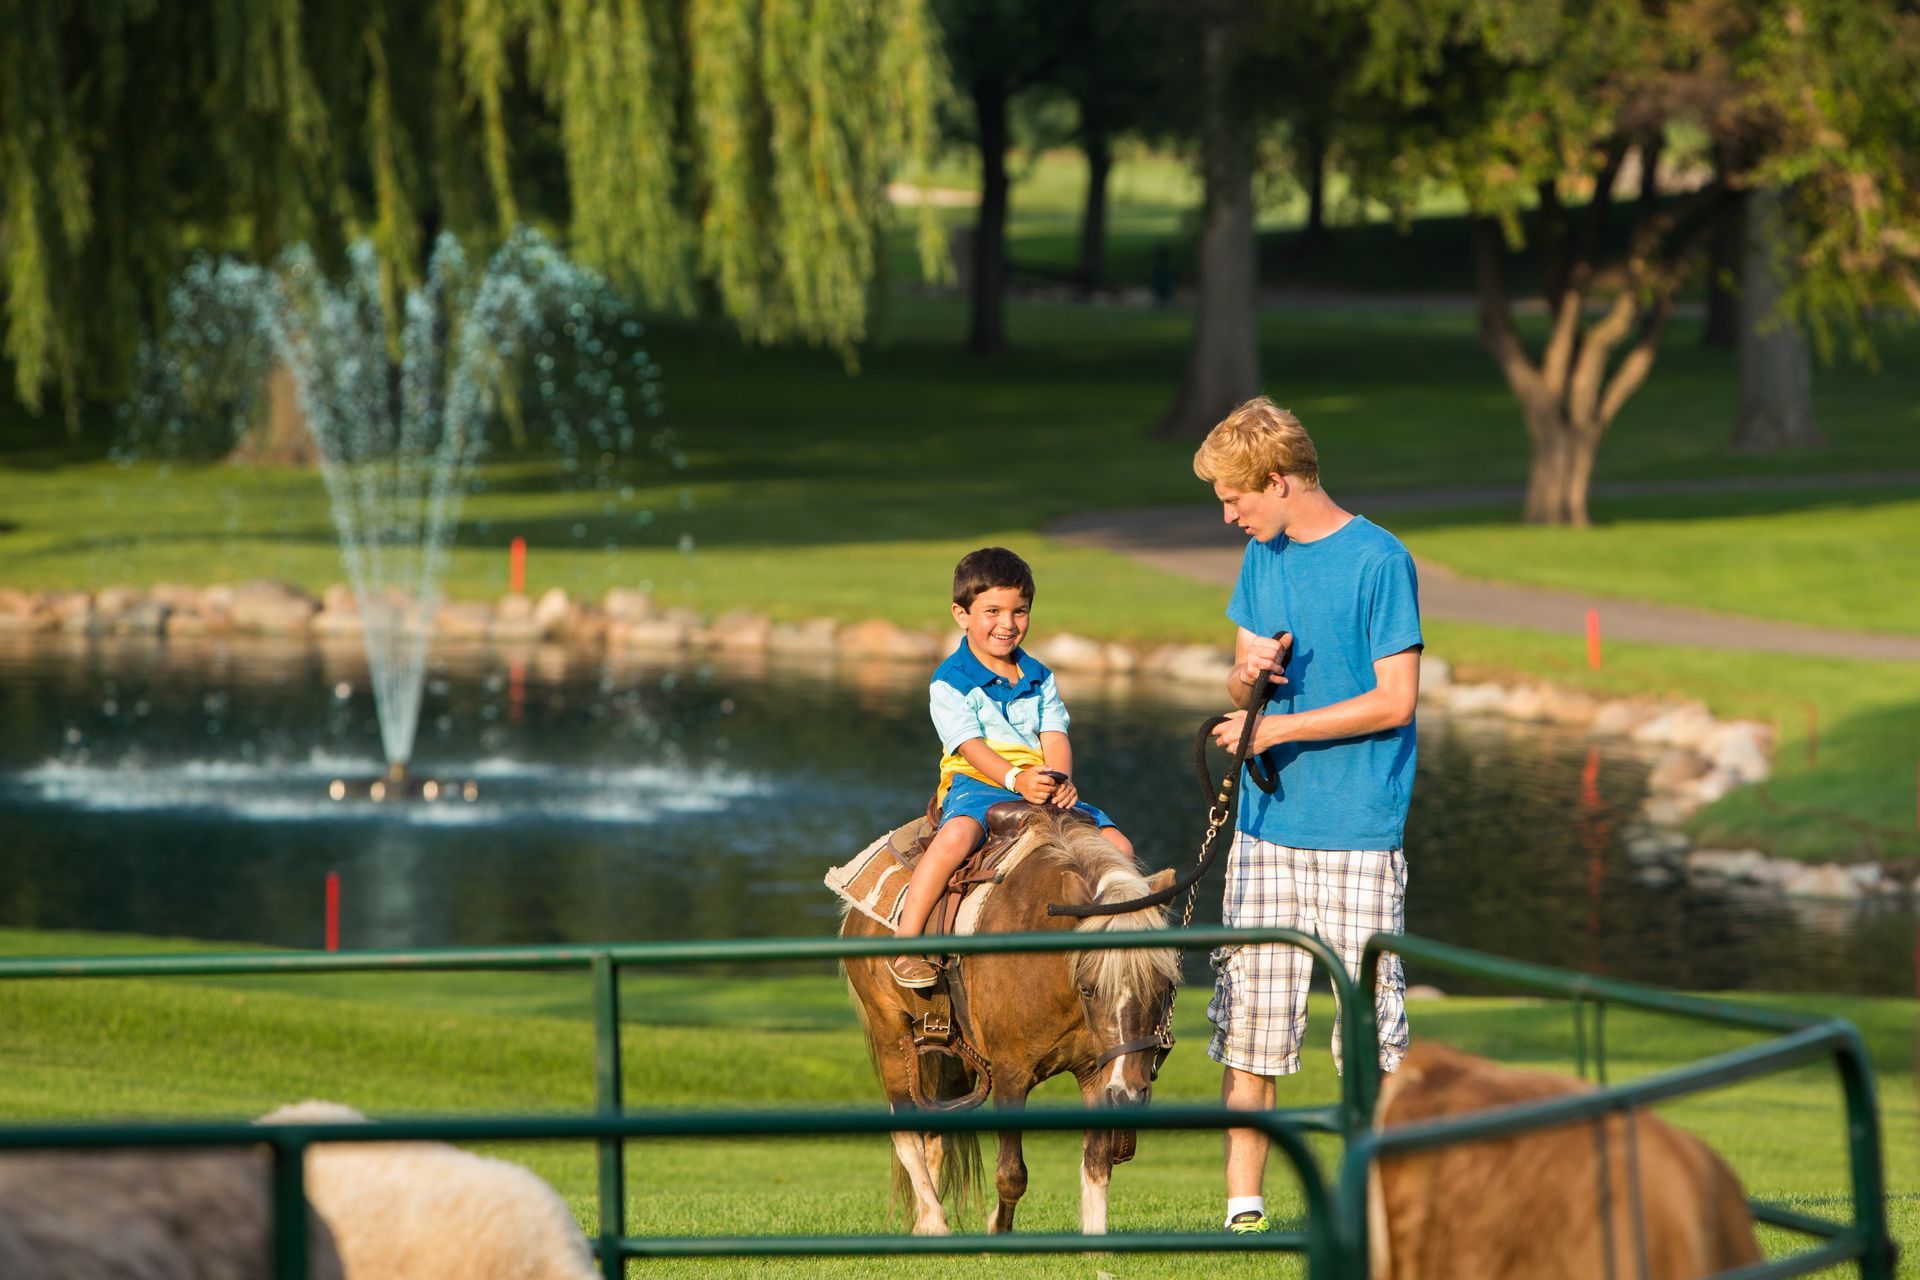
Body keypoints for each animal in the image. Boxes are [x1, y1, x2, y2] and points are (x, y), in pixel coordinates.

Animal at [841, 805, 1181, 1236]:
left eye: (1164, 986)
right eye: (1088, 988)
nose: (1129, 1094)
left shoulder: (1096, 1073)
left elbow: (1097, 1164)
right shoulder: (1010, 1074)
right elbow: (1011, 1174)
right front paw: (995, 1232)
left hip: (948, 1053)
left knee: (935, 1131)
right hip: (891, 1031)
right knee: (905, 1129)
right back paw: (935, 1222)